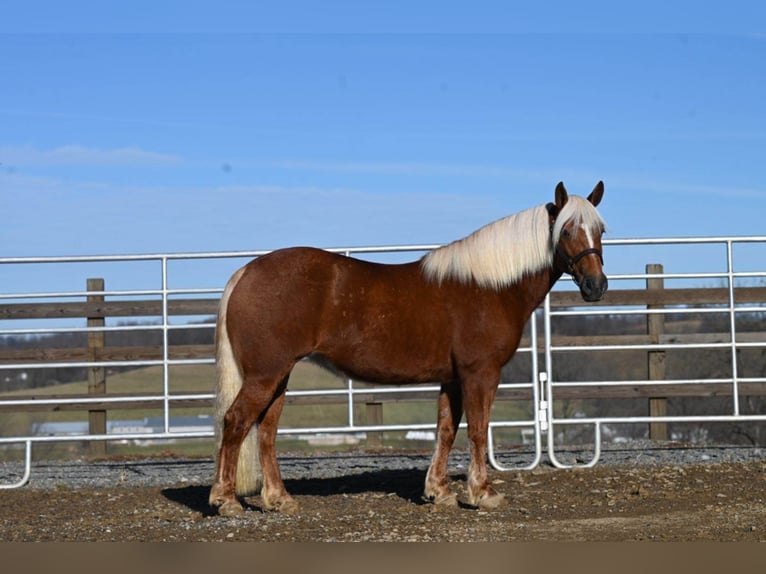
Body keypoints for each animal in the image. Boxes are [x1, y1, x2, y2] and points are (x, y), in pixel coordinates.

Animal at [207, 181, 608, 516]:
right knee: (236, 421)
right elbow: (478, 429)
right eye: (566, 230)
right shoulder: (480, 373)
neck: (488, 286)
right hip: (266, 374)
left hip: (279, 375)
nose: (596, 285)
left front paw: (439, 491)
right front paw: (483, 493)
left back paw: (279, 499)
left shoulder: (452, 378)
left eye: (601, 230)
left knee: (266, 430)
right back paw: (226, 501)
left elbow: (446, 428)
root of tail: (245, 273)